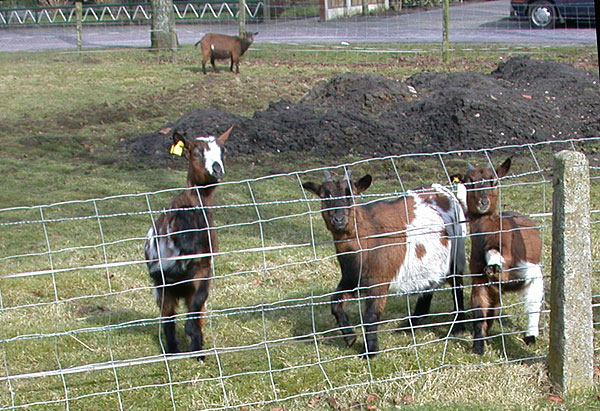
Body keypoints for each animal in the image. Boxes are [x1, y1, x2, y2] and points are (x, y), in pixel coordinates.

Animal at [144, 127, 233, 358]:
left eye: (223, 151)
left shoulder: (204, 267)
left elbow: (198, 303)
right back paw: (173, 351)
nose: (217, 169)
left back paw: (197, 351)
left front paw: (195, 340)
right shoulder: (164, 276)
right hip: (164, 291)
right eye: (196, 152)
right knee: (168, 318)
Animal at [302, 171, 466, 358]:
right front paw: (350, 338)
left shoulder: (379, 281)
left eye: (351, 195)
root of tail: (443, 190)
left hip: (457, 254)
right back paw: (410, 324)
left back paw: (458, 326)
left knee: (457, 286)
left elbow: (371, 315)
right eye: (325, 196)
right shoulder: (351, 279)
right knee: (428, 285)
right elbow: (335, 303)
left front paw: (370, 351)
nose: (339, 219)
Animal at [454, 159, 544, 356]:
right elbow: (479, 312)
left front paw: (494, 261)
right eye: (469, 182)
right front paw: (478, 346)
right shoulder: (479, 280)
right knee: (493, 308)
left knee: (533, 305)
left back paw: (530, 336)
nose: (483, 202)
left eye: (494, 181)